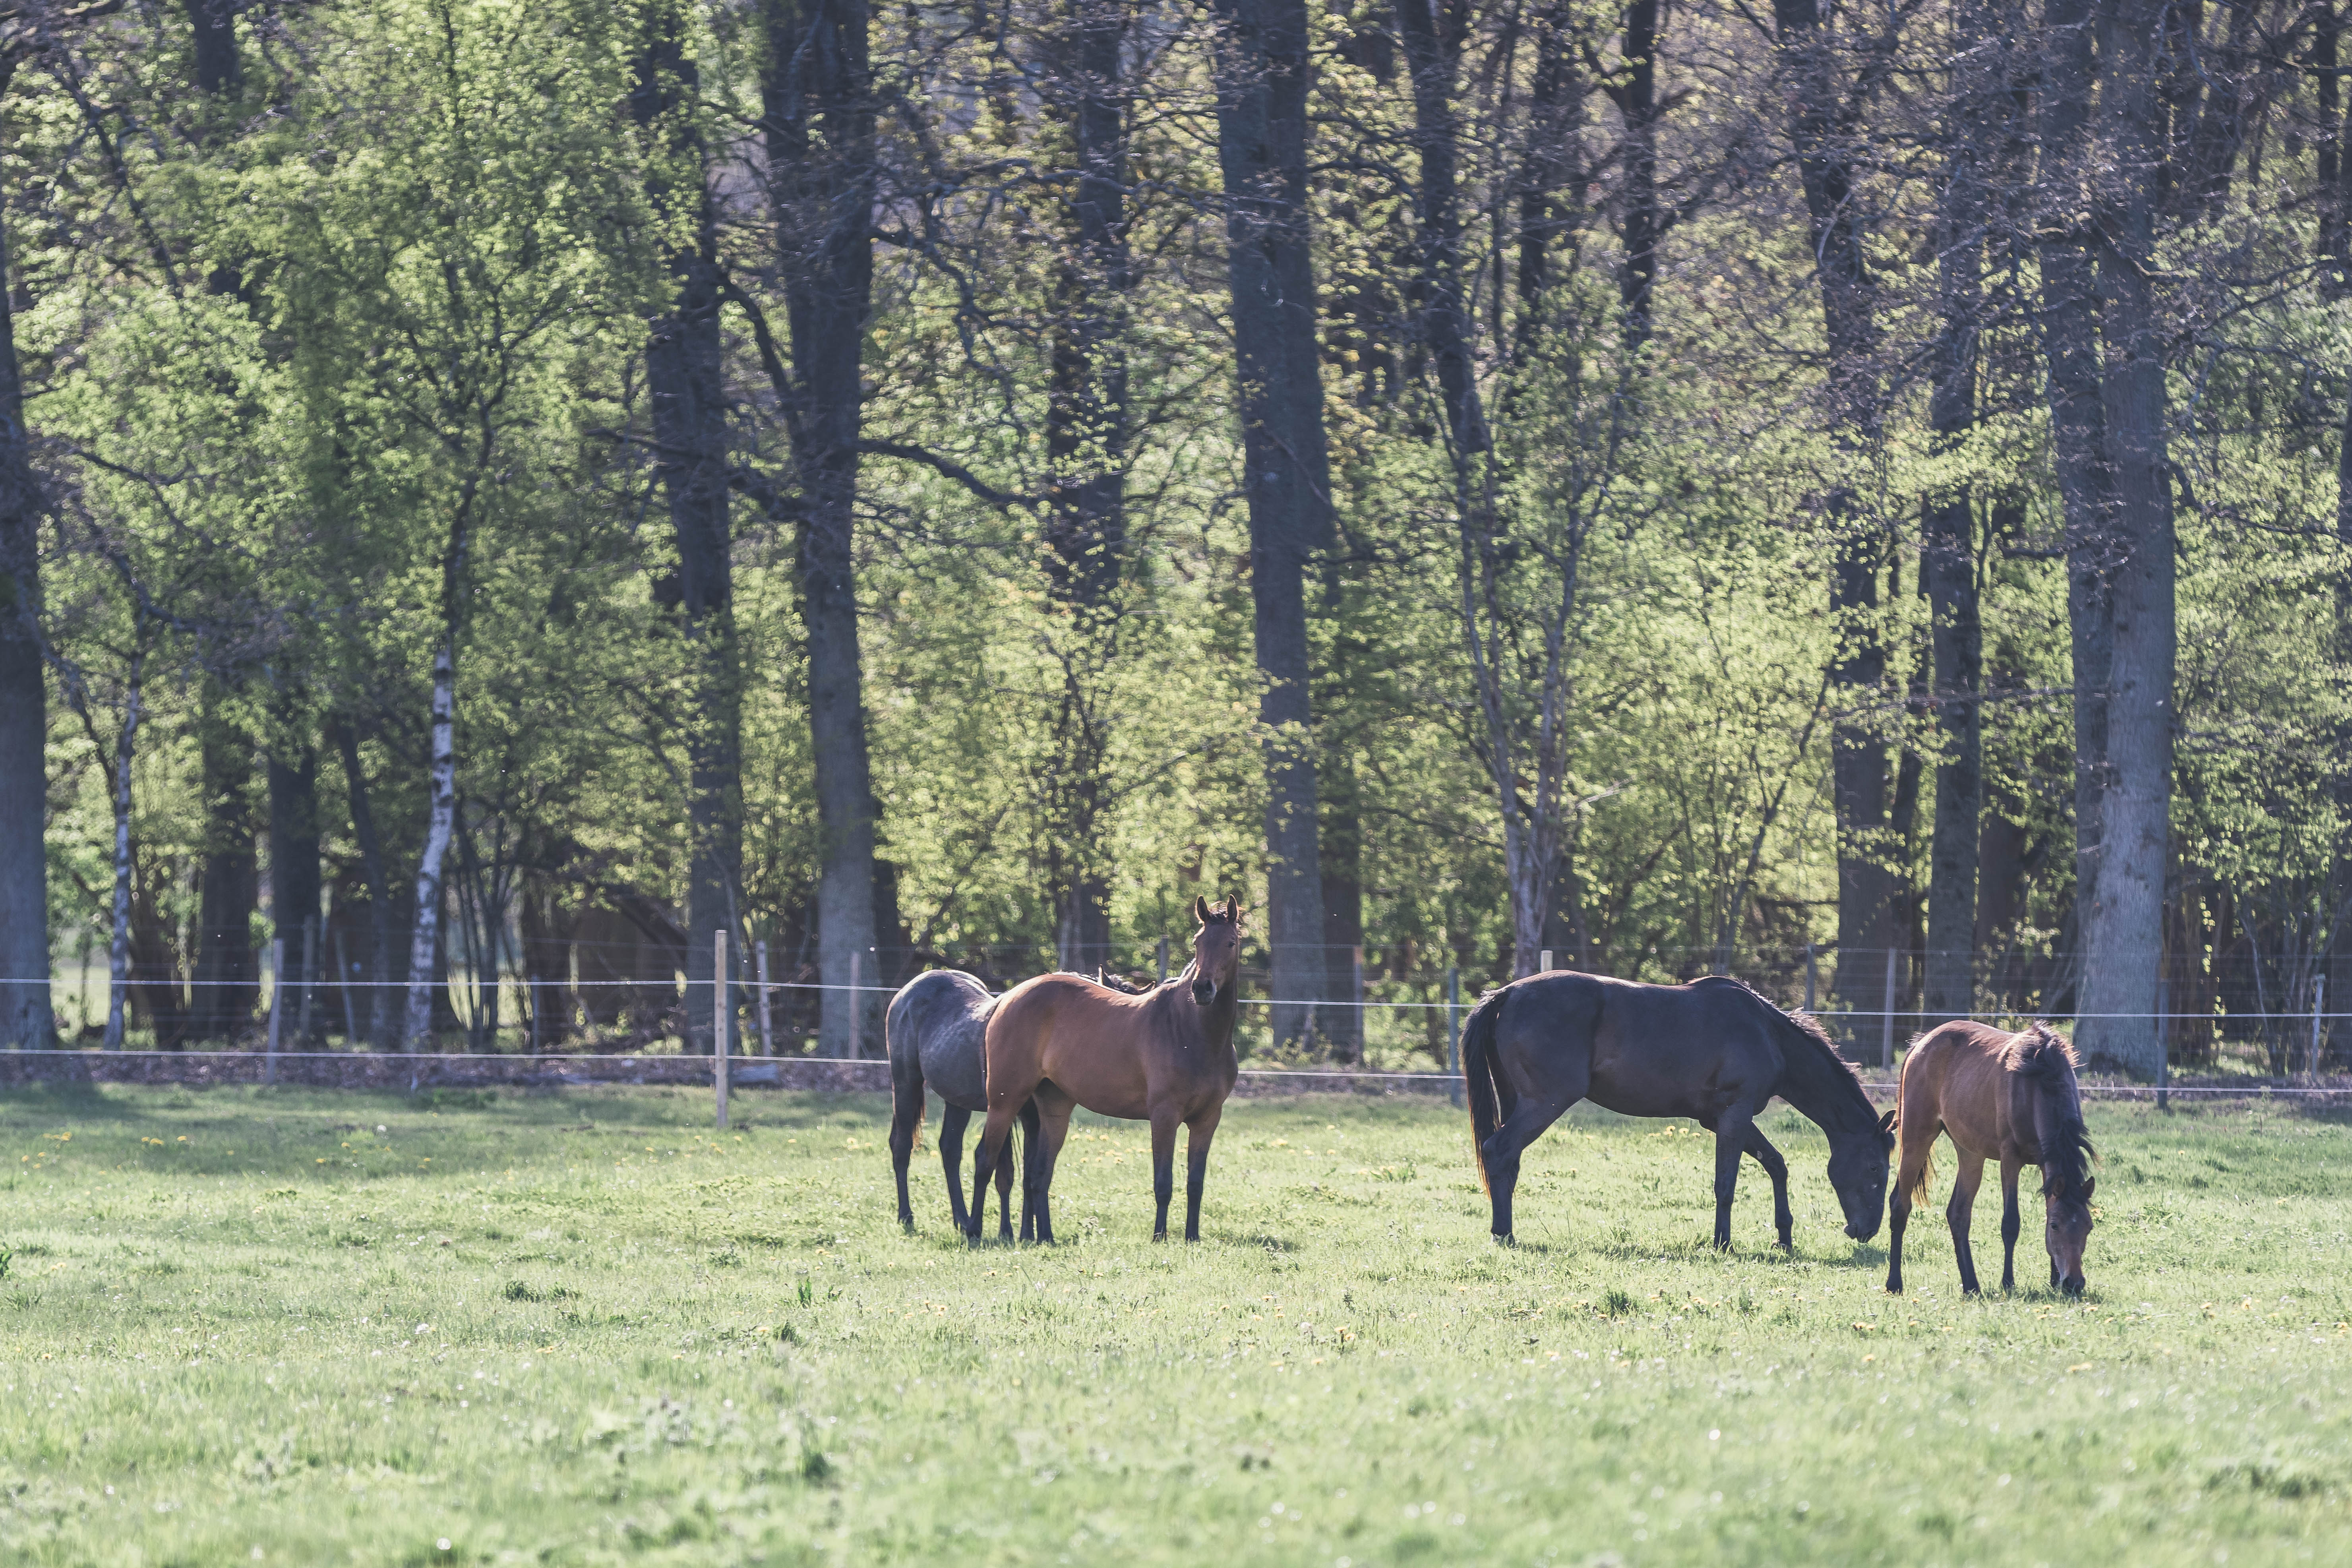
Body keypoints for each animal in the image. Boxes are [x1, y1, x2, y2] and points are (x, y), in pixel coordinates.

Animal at [884, 968, 1035, 1241]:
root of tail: (905, 992)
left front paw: (1016, 1233)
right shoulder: (1004, 1112)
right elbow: (1004, 1171)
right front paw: (1007, 1232)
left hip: (957, 1102)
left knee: (950, 1150)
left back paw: (962, 1220)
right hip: (905, 1084)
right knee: (902, 1146)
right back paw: (906, 1216)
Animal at [964, 902, 1251, 1241]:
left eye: (1230, 943)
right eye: (1198, 942)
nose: (1202, 989)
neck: (1194, 1032)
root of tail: (1006, 998)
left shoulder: (1207, 1120)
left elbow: (1195, 1184)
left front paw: (1191, 1237)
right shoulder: (1164, 1116)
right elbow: (1163, 1184)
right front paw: (1159, 1237)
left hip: (1054, 1108)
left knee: (1040, 1172)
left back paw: (1045, 1237)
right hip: (1004, 1102)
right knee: (985, 1161)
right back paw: (973, 1231)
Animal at [1467, 973, 1891, 1260]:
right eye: (1875, 1168)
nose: (1865, 1231)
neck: (1768, 1034)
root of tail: (1508, 993)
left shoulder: (1722, 1119)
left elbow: (1776, 1165)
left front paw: (1783, 1238)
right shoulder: (1734, 1116)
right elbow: (1726, 1185)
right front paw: (1723, 1244)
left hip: (1520, 1103)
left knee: (1508, 1164)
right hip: (1544, 1104)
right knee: (1499, 1151)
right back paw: (1503, 1234)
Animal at [1891, 1020, 2098, 1297]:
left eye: (2089, 1226)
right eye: (2056, 1226)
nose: (2074, 1283)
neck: (2039, 1081)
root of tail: (1919, 1045)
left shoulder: (2048, 1164)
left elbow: (2047, 1207)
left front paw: (2054, 1280)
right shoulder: (2010, 1159)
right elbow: (2011, 1223)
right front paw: (2008, 1282)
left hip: (1970, 1154)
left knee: (1958, 1214)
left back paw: (1971, 1285)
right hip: (1917, 1140)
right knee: (1899, 1207)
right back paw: (1894, 1284)